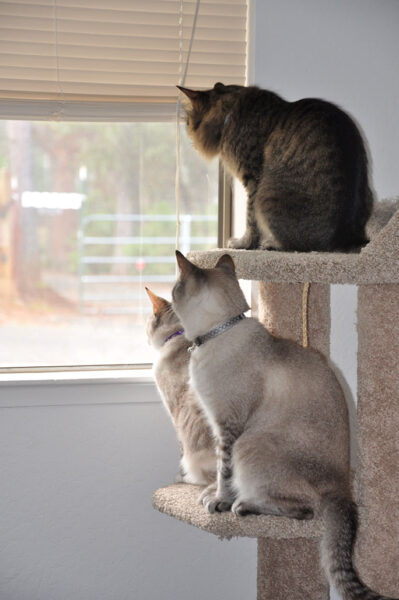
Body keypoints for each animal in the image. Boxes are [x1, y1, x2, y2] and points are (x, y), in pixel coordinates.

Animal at [172, 251, 396, 600]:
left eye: (173, 290)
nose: (168, 297)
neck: (218, 333)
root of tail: (342, 487)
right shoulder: (217, 423)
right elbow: (221, 474)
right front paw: (209, 493)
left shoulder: (228, 427)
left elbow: (224, 472)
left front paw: (219, 500)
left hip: (251, 443)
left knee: (306, 510)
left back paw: (242, 506)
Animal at [180, 83, 374, 252]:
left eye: (188, 122)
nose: (189, 138)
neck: (231, 113)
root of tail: (343, 237)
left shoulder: (253, 179)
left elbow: (250, 219)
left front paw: (244, 243)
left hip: (266, 195)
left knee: (294, 245)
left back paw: (271, 243)